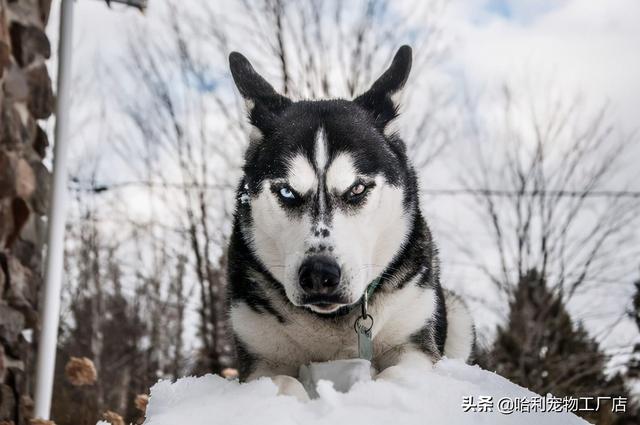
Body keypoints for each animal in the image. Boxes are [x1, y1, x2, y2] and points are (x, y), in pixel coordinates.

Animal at [228, 44, 472, 396]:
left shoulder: (413, 344)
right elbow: (282, 382)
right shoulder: (262, 357)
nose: (319, 274)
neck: (332, 321)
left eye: (357, 188)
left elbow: (396, 376)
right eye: (287, 192)